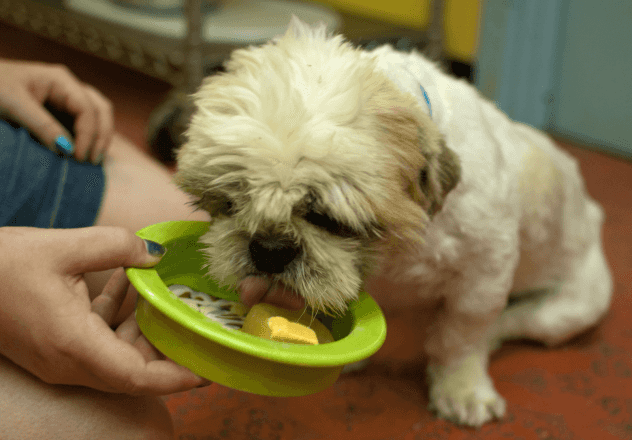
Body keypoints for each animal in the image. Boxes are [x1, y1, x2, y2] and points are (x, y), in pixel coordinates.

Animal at [174, 18, 612, 428]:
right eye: (228, 203)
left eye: (326, 217)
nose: (269, 249)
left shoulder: (483, 275)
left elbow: (461, 338)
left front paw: (462, 387)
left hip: (567, 312)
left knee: (506, 325)